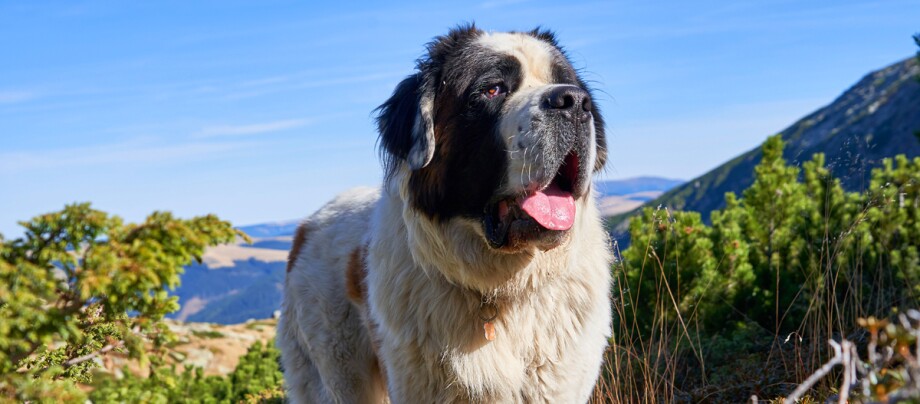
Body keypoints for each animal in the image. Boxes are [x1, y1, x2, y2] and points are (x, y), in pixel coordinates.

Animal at [276, 26, 616, 404]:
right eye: (492, 89)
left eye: (568, 85)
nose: (573, 101)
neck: (498, 291)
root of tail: (306, 226)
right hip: (336, 372)